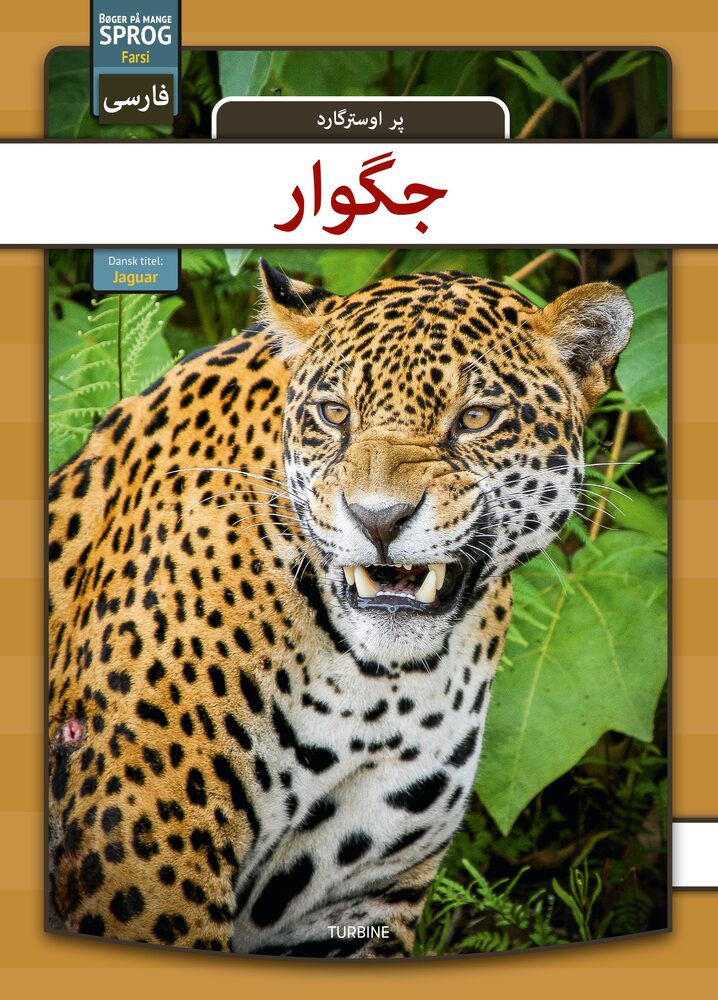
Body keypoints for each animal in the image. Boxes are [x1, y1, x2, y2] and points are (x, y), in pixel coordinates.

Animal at [47, 260, 632, 958]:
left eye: (476, 417)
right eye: (334, 414)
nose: (377, 518)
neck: (377, 689)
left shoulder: (358, 897)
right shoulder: (142, 856)